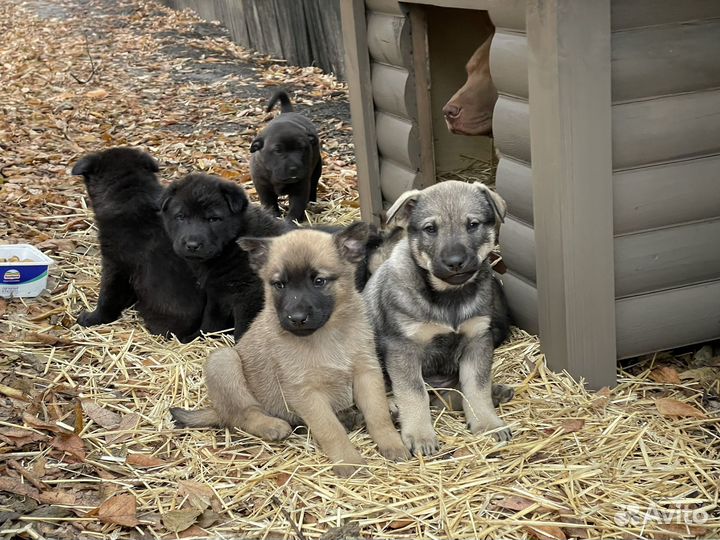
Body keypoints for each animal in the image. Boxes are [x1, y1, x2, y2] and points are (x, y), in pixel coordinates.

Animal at [159, 173, 292, 340]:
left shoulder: (248, 294)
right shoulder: (216, 293)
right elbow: (211, 320)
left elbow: (243, 326)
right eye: (181, 217)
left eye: (213, 219)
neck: (232, 247)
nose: (192, 245)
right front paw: (197, 337)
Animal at [167, 221, 404, 474]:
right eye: (279, 284)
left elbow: (378, 414)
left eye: (319, 281)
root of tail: (216, 409)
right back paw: (272, 425)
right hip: (224, 361)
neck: (327, 335)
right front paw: (349, 462)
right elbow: (330, 429)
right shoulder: (304, 392)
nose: (296, 318)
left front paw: (392, 443)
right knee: (243, 414)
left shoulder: (366, 372)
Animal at [250, 90, 324, 221]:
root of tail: (287, 112)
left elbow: (296, 208)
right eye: (278, 150)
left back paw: (312, 203)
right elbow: (270, 205)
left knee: (314, 185)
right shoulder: (263, 187)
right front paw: (273, 217)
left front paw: (291, 221)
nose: (294, 168)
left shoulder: (300, 187)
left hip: (317, 169)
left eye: (301, 148)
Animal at [366, 180, 512, 456]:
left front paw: (487, 422)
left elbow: (476, 387)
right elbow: (414, 394)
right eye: (430, 229)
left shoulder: (477, 341)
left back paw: (497, 392)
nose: (455, 262)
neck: (449, 297)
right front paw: (420, 436)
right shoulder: (404, 349)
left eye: (473, 224)